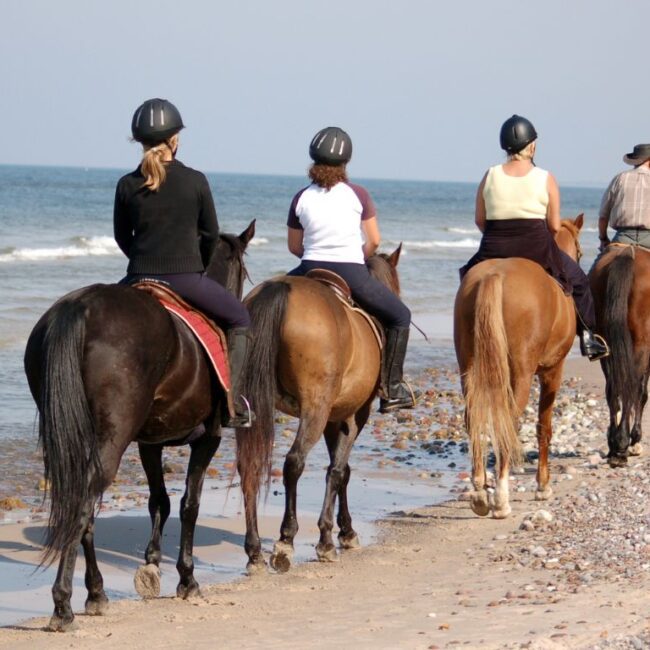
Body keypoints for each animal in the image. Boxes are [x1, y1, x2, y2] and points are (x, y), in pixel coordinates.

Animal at [20, 220, 253, 632]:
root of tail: (81, 307)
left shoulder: (149, 442)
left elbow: (159, 500)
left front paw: (152, 565)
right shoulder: (207, 438)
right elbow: (189, 504)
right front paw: (186, 578)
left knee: (81, 502)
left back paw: (96, 593)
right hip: (115, 436)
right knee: (83, 503)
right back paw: (63, 604)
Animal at [235, 246, 402, 568]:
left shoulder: (333, 418)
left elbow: (341, 469)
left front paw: (344, 531)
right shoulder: (353, 414)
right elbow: (339, 470)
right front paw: (331, 537)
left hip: (250, 406)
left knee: (248, 465)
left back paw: (254, 550)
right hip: (315, 408)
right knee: (294, 462)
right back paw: (285, 539)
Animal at [450, 216, 584, 516]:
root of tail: (495, 275)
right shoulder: (553, 371)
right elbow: (544, 427)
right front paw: (543, 486)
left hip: (468, 367)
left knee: (474, 417)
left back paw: (479, 493)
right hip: (521, 375)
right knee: (508, 421)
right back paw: (501, 498)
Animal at [588, 242, 648, 460]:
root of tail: (627, 253)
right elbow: (642, 391)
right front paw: (635, 439)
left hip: (607, 345)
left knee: (613, 388)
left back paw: (615, 443)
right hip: (640, 343)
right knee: (634, 387)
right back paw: (625, 442)